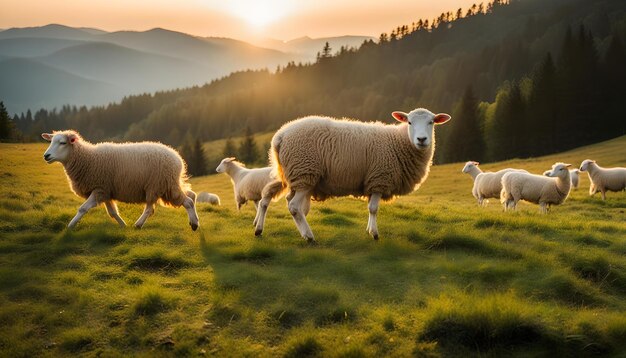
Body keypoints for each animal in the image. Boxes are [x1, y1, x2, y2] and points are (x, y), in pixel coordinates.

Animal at [42, 131, 199, 229]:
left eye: (62, 143)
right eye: (51, 141)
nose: (46, 156)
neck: (87, 159)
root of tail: (178, 158)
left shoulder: (99, 188)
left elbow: (83, 208)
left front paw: (70, 226)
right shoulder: (105, 191)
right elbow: (112, 212)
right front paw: (123, 225)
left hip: (160, 185)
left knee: (185, 202)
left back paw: (193, 224)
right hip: (165, 186)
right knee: (191, 196)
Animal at [258, 105, 448, 241]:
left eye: (432, 122)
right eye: (409, 122)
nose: (422, 139)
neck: (399, 143)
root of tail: (280, 136)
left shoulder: (373, 181)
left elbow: (370, 208)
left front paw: (369, 229)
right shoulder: (379, 178)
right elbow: (373, 208)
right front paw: (374, 234)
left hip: (295, 176)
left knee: (282, 201)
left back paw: (265, 230)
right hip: (304, 172)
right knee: (294, 206)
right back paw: (309, 237)